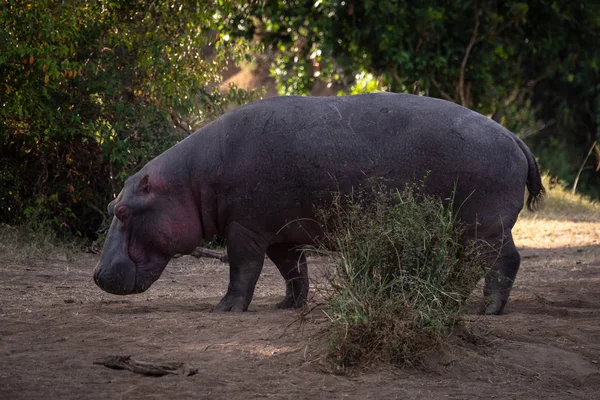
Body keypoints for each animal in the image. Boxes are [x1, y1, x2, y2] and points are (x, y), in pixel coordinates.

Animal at [92, 93, 544, 316]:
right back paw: (459, 302)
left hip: (483, 225)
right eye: (112, 205)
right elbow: (294, 271)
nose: (96, 275)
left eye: (123, 211)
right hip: (479, 227)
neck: (189, 182)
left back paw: (482, 310)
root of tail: (514, 137)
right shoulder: (279, 235)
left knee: (495, 262)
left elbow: (243, 270)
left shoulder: (245, 229)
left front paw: (224, 310)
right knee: (488, 262)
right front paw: (288, 306)